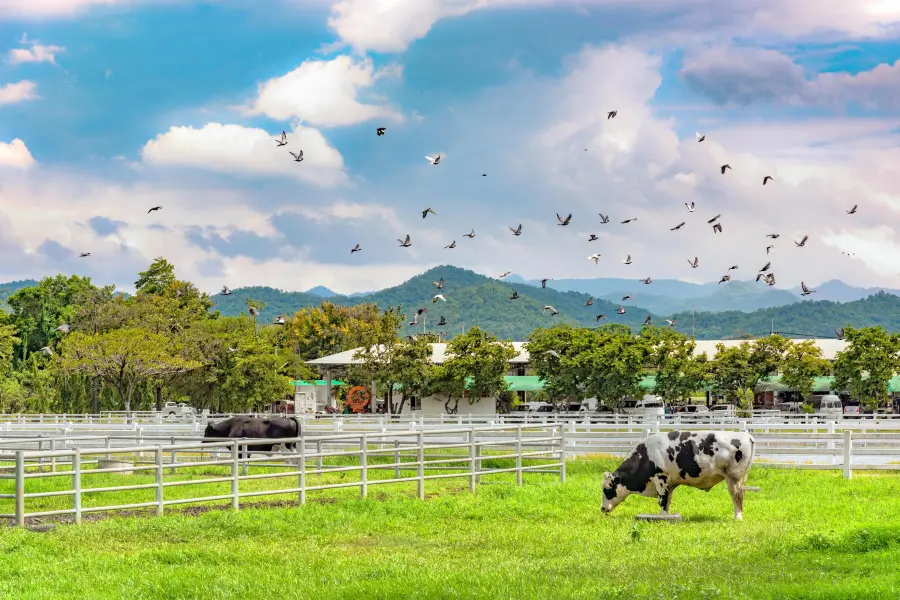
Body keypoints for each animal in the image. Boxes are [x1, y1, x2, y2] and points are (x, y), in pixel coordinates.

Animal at [600, 432, 756, 520]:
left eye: (606, 489)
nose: (602, 508)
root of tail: (746, 436)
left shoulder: (661, 478)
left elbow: (662, 501)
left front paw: (662, 516)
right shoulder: (670, 483)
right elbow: (668, 500)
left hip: (734, 479)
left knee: (737, 497)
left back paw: (737, 517)